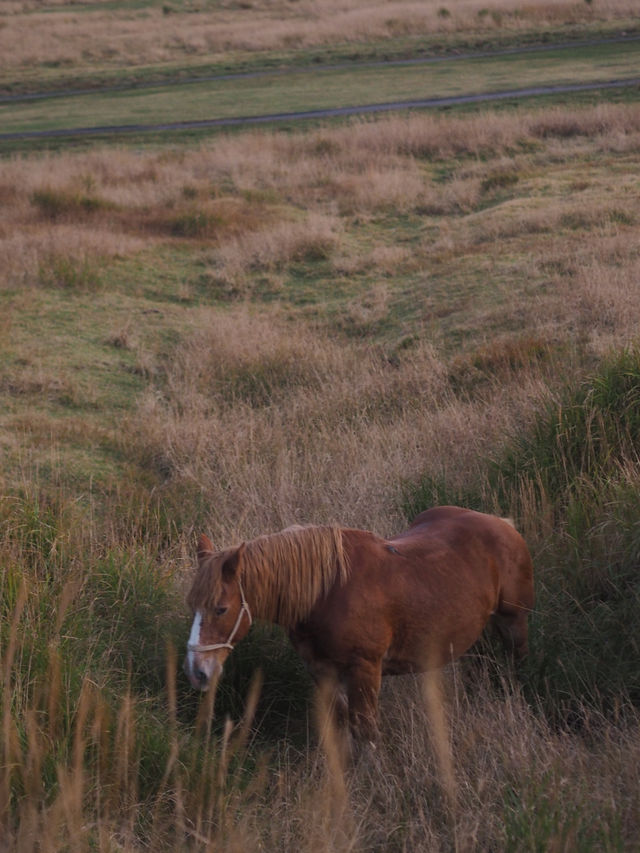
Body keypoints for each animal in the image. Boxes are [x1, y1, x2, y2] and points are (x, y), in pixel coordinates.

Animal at [185, 506, 536, 740]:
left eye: (220, 609)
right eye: (192, 605)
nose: (196, 672)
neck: (327, 592)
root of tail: (502, 524)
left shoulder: (365, 669)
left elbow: (365, 731)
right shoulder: (322, 671)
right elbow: (343, 725)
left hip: (513, 623)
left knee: (514, 665)